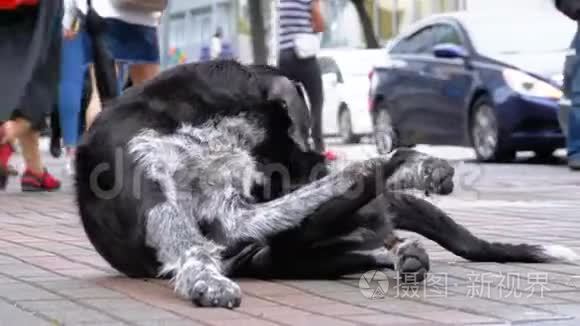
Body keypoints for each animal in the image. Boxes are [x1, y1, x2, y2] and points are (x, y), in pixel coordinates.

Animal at [75, 59, 576, 308]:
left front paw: (416, 164)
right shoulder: (223, 218)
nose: (320, 161)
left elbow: (357, 174)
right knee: (355, 243)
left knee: (367, 234)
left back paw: (399, 241)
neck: (189, 120)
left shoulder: (239, 205)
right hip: (282, 258)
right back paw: (396, 245)